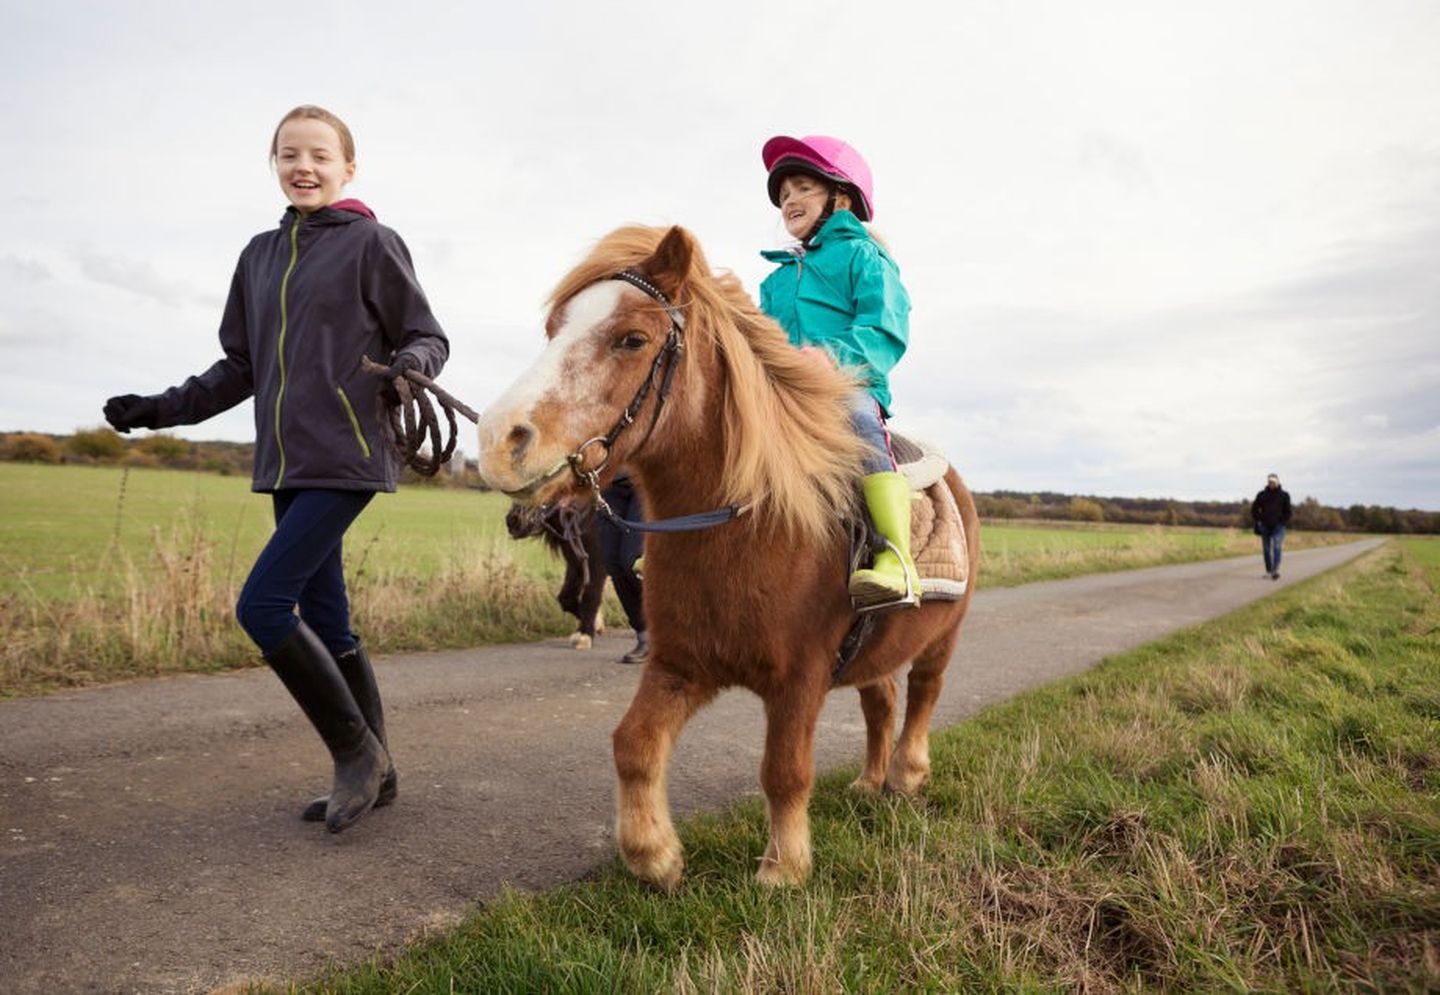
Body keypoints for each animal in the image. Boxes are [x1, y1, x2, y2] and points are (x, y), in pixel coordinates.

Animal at [504, 501, 604, 650]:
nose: (512, 520)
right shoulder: (576, 561)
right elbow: (566, 598)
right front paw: (597, 624)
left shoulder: (598, 562)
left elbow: (590, 596)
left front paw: (584, 635)